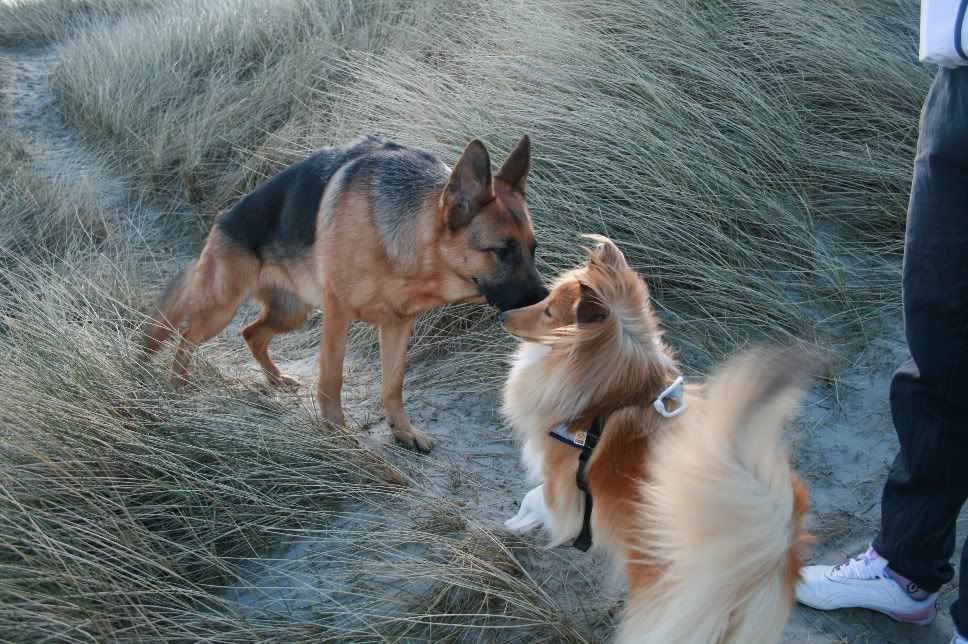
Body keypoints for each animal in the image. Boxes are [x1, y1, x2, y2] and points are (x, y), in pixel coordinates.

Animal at [146, 133, 552, 450]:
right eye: (502, 251)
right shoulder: (337, 314)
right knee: (188, 336)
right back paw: (177, 385)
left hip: (292, 313)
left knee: (251, 333)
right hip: (223, 307)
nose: (546, 303)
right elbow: (331, 379)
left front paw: (403, 431)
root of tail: (222, 218)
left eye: (533, 249)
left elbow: (393, 384)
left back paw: (276, 379)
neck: (406, 241)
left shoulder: (397, 324)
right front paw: (335, 431)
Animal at [500, 238, 808, 644]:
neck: (607, 399)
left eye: (549, 311)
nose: (504, 315)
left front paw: (514, 524)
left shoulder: (563, 488)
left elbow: (535, 499)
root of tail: (763, 551)